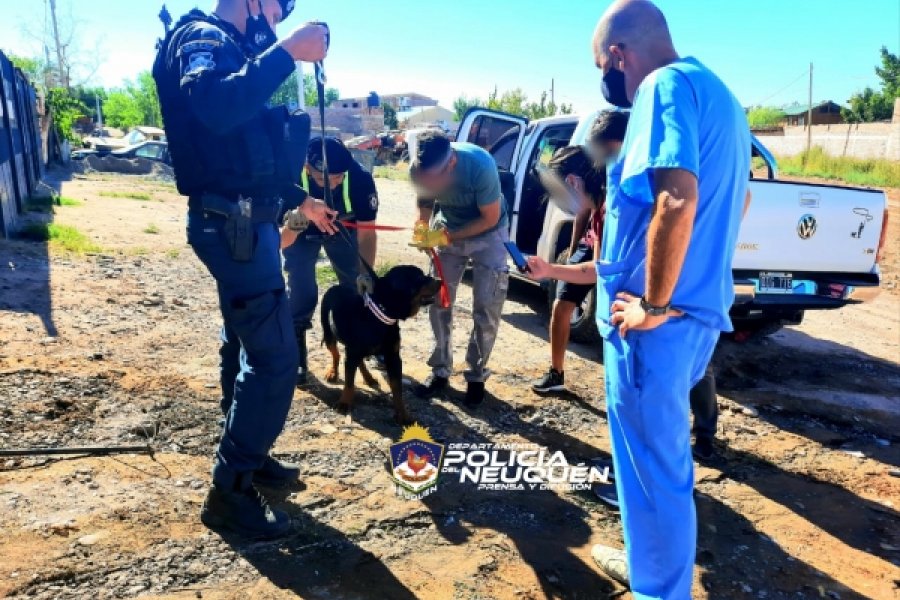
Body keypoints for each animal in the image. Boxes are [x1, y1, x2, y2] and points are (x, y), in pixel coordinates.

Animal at [320, 264, 442, 424]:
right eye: (418, 277)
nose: (440, 281)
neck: (380, 317)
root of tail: (335, 286)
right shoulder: (352, 353)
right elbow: (349, 382)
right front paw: (345, 402)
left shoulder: (393, 357)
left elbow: (397, 389)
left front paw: (403, 414)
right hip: (329, 334)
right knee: (336, 354)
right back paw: (333, 373)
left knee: (359, 362)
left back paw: (368, 378)